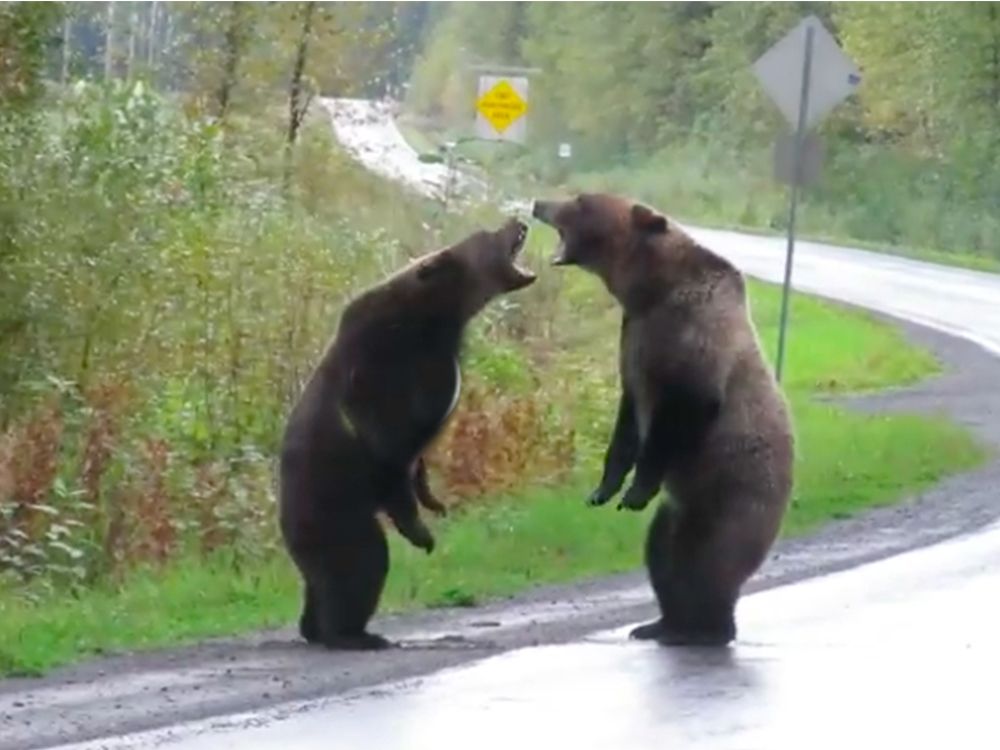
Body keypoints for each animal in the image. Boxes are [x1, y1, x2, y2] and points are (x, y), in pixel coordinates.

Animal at [278, 219, 536, 652]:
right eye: (487, 233)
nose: (518, 220)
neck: (437, 318)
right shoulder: (384, 368)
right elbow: (388, 445)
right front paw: (421, 531)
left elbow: (417, 458)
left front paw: (434, 500)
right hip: (332, 506)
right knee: (361, 561)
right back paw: (352, 634)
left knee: (325, 578)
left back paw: (316, 627)